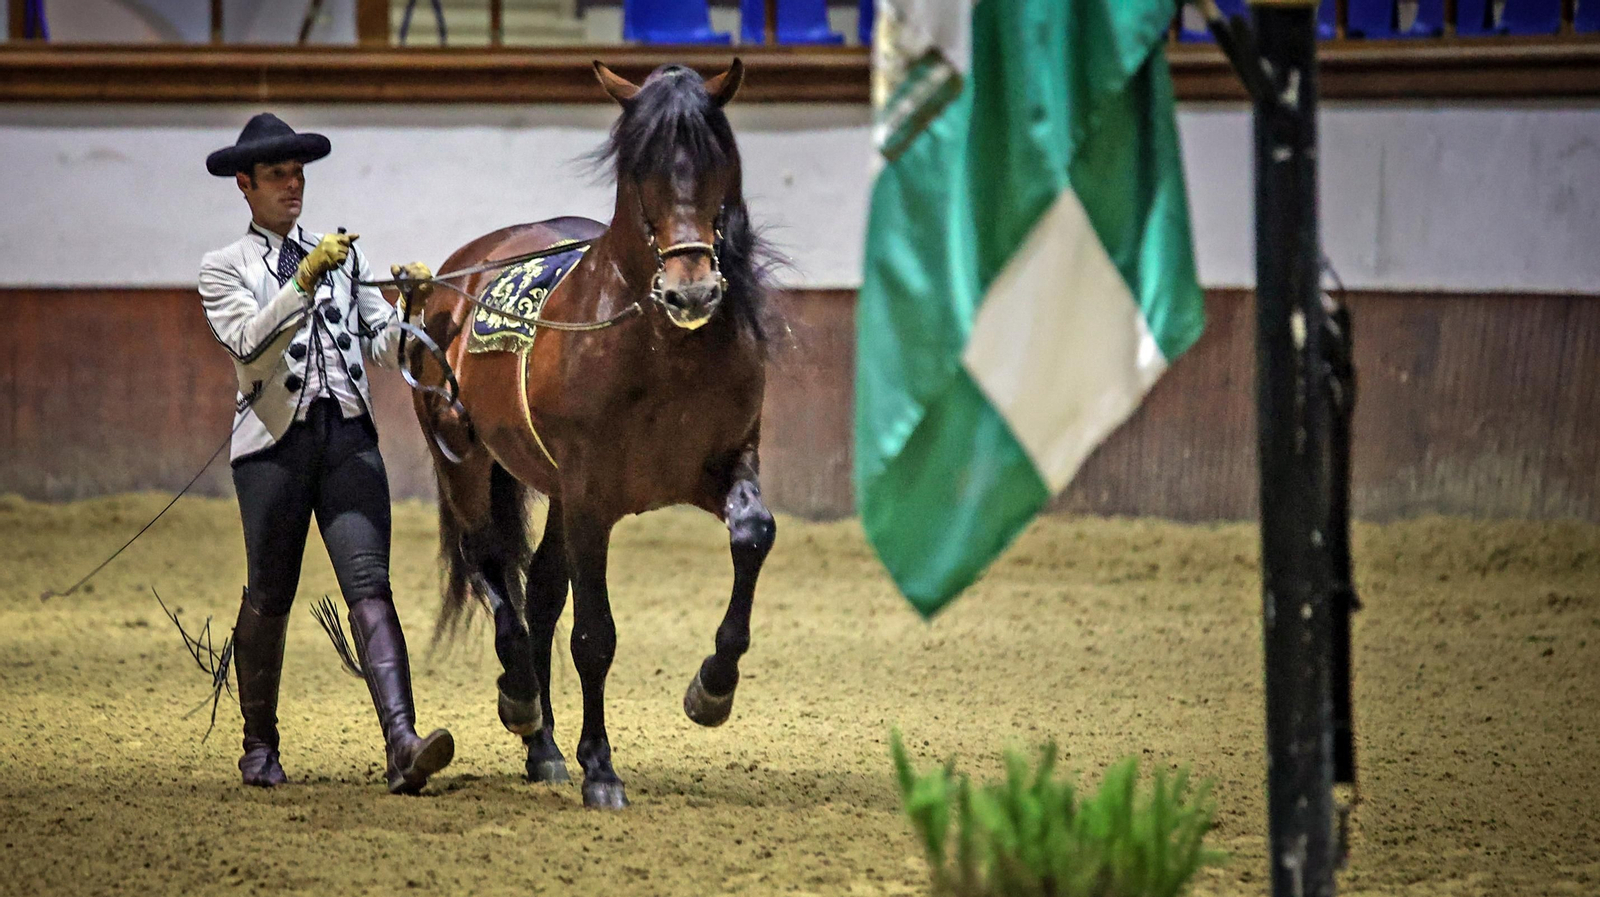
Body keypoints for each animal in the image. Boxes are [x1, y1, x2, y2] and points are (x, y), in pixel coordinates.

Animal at [407, 59, 777, 809]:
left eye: (721, 160)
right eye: (640, 170)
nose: (692, 292)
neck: (661, 348)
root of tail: (454, 276)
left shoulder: (720, 464)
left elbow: (754, 534)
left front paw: (712, 689)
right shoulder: (590, 496)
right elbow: (594, 636)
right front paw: (601, 768)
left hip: (552, 488)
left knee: (541, 590)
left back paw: (544, 748)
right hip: (467, 461)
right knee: (491, 567)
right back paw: (521, 700)